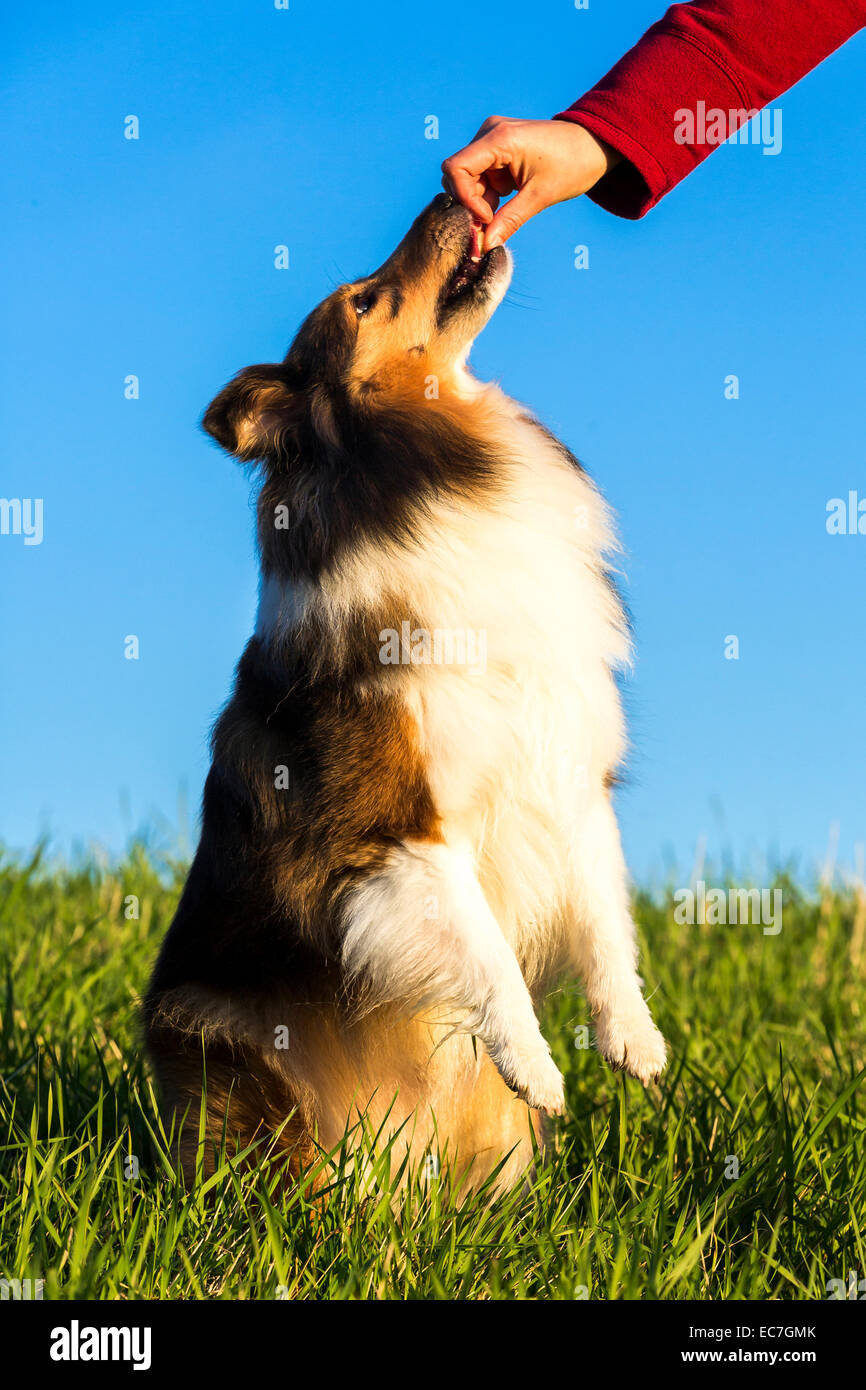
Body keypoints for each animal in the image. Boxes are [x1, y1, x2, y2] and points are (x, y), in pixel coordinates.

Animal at [145, 193, 667, 1195]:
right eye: (363, 302)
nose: (453, 192)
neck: (428, 473)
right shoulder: (392, 826)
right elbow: (487, 951)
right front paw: (536, 1062)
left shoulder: (569, 778)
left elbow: (604, 920)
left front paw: (635, 1040)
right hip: (227, 1046)